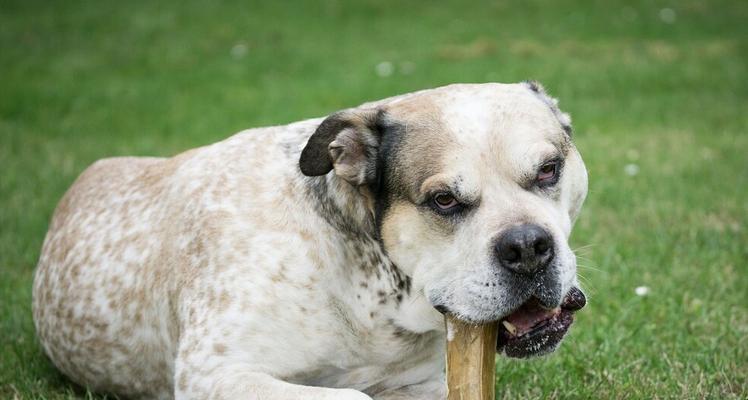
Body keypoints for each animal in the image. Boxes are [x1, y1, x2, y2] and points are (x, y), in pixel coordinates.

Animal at [32, 82, 588, 400]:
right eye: (444, 200)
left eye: (548, 170)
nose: (526, 247)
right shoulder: (217, 374)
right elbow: (350, 397)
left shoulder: (418, 384)